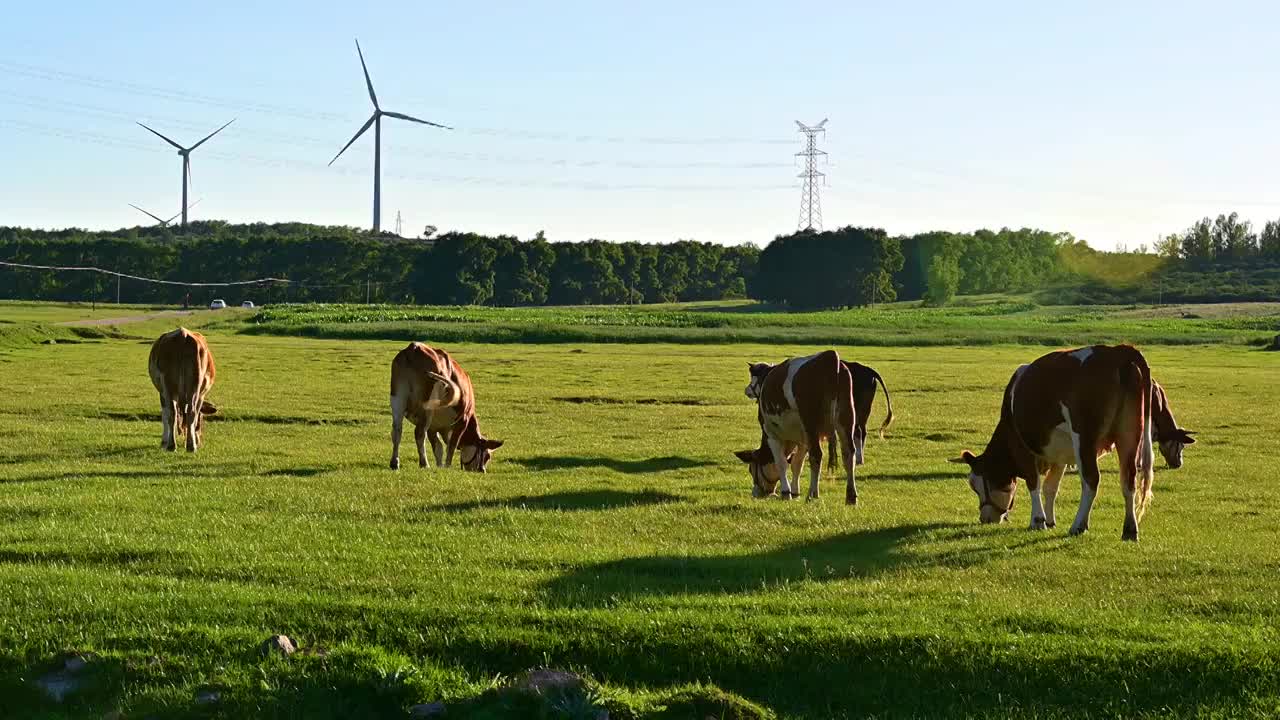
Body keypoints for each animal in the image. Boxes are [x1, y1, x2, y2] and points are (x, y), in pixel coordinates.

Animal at [389, 340, 504, 471]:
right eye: (487, 456)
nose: (482, 471)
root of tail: (414, 347)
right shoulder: (462, 420)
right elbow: (451, 445)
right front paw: (447, 465)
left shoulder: (433, 427)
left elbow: (438, 447)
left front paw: (440, 466)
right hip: (427, 406)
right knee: (419, 433)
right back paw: (424, 464)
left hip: (398, 398)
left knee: (397, 431)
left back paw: (395, 462)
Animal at [737, 351, 855, 502]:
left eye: (751, 470)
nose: (756, 493)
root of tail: (829, 356)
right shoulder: (803, 439)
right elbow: (797, 464)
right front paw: (795, 491)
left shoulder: (771, 435)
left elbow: (781, 463)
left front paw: (786, 492)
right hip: (846, 419)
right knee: (849, 453)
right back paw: (851, 496)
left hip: (811, 424)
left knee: (817, 455)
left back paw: (812, 494)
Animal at [747, 356, 896, 466]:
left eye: (756, 377)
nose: (747, 390)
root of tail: (868, 370)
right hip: (863, 410)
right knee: (861, 431)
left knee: (859, 431)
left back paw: (858, 459)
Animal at [952, 343, 1162, 538]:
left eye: (976, 485)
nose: (985, 518)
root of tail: (1118, 350)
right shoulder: (1060, 455)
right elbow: (1050, 487)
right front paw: (1050, 520)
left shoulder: (1022, 448)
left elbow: (1034, 483)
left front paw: (1038, 520)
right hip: (1129, 434)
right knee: (1129, 479)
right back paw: (1130, 529)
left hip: (1084, 439)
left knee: (1091, 479)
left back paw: (1078, 525)